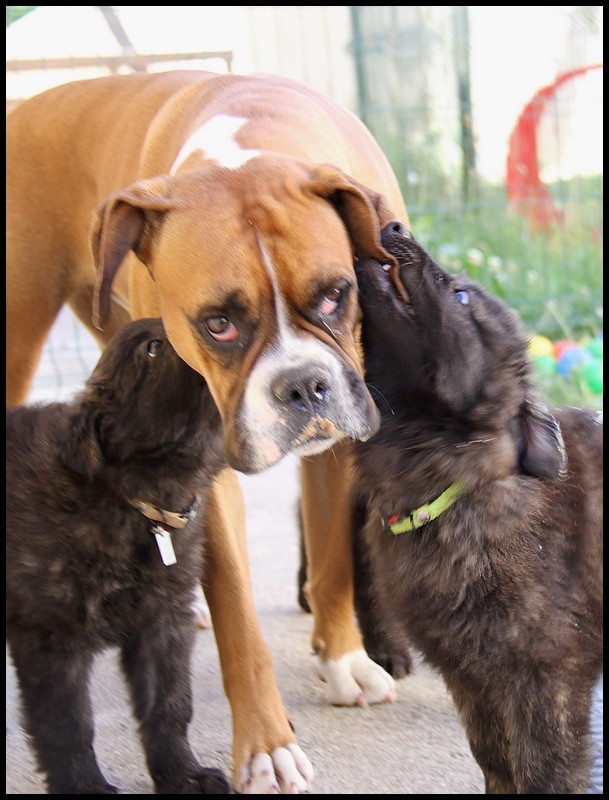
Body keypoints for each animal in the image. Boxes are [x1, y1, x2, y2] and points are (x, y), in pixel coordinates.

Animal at [6, 318, 230, 792]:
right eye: (153, 348)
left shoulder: (163, 621)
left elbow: (169, 706)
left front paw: (183, 774)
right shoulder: (50, 635)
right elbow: (67, 724)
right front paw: (83, 786)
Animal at [352, 223, 604, 792]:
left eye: (461, 296)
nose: (395, 227)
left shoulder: (547, 676)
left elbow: (544, 772)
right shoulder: (473, 677)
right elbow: (495, 761)